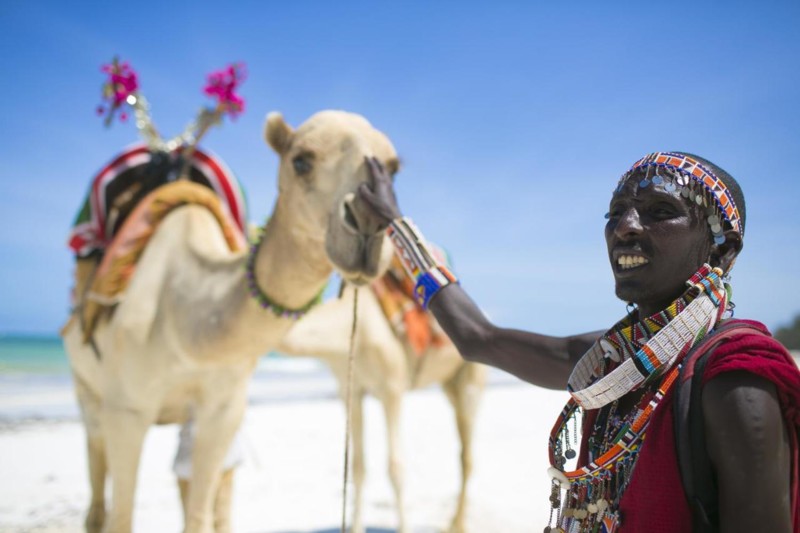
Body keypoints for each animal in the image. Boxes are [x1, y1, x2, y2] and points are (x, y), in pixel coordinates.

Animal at [61, 110, 399, 533]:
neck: (187, 322)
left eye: (393, 167)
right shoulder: (126, 410)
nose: (369, 223)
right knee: (96, 473)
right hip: (86, 387)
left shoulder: (223, 410)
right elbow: (121, 519)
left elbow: (198, 514)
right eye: (301, 161)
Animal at [277, 278, 487, 533]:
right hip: (450, 383)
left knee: (467, 455)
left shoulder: (392, 388)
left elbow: (395, 467)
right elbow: (357, 467)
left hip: (472, 379)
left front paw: (404, 528)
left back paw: (457, 525)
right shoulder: (350, 390)